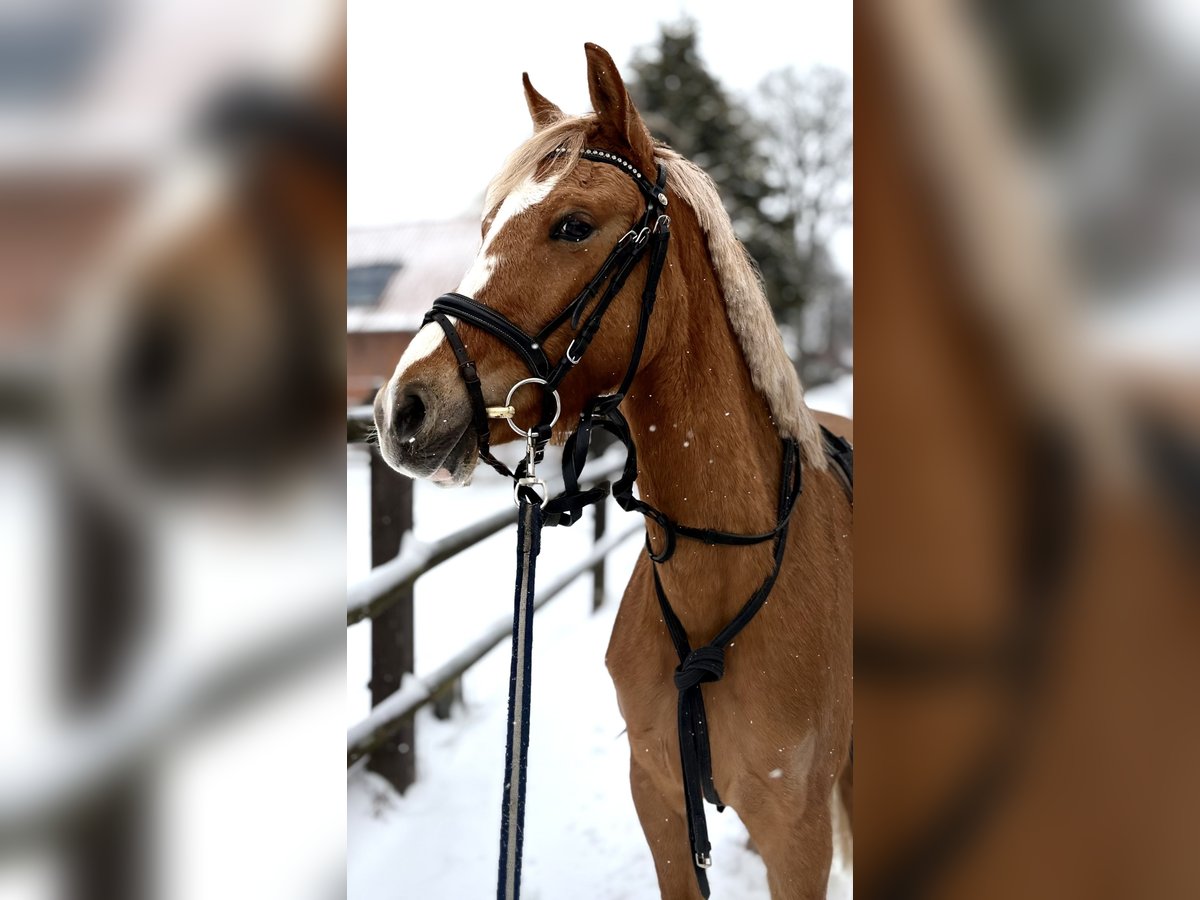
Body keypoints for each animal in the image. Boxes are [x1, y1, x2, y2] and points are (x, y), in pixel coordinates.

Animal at [375, 43, 852, 899]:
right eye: (488, 225)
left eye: (573, 226)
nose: (403, 408)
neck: (720, 577)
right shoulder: (659, 802)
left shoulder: (800, 836)